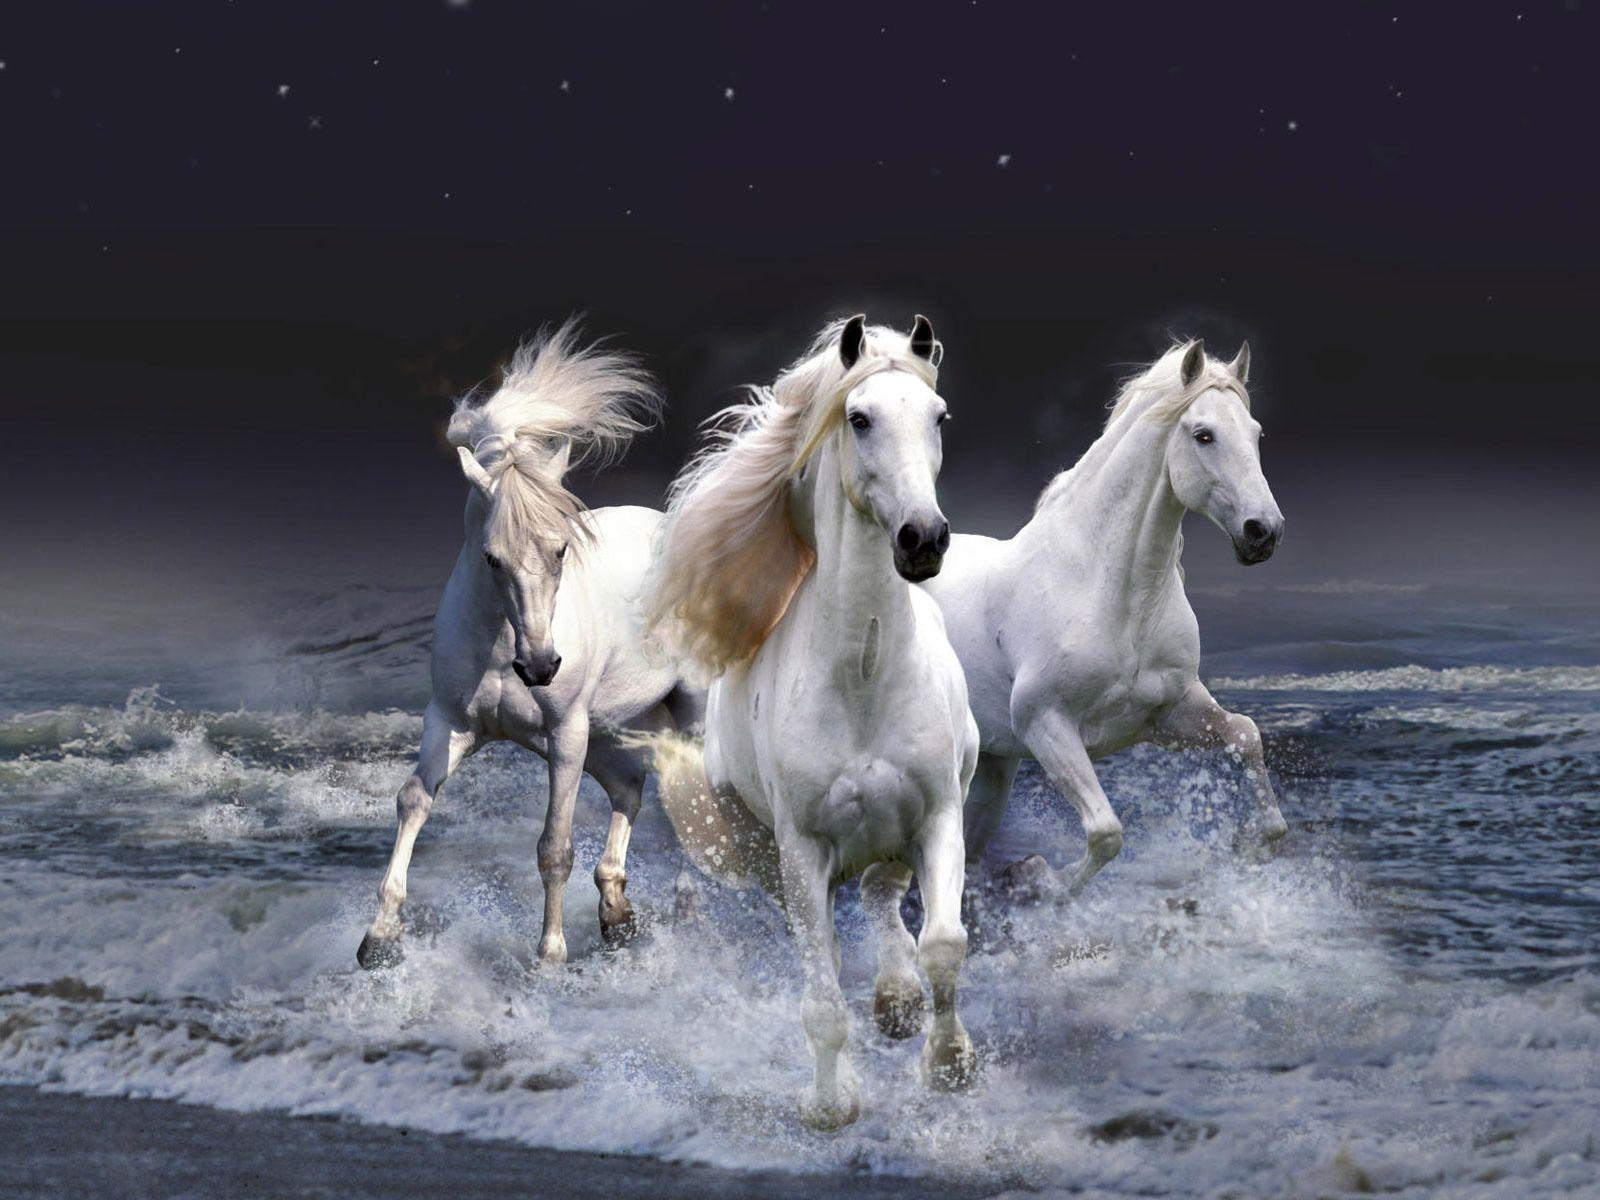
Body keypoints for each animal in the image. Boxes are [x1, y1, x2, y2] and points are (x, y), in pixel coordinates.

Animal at [357, 320, 702, 970]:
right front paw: (379, 939)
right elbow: (413, 800)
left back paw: (684, 908)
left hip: (680, 713)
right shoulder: (452, 722)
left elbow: (554, 846)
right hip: (610, 728)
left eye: (561, 548)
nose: (540, 666)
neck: (499, 648)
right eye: (492, 558)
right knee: (630, 788)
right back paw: (616, 914)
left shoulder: (565, 734)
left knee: (694, 798)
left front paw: (550, 957)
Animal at [638, 315, 979, 1130]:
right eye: (859, 418)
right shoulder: (802, 850)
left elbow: (943, 943)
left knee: (884, 897)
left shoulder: (937, 815)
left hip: (893, 834)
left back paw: (897, 1001)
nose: (924, 539)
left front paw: (950, 1064)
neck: (863, 676)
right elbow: (821, 997)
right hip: (767, 855)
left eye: (939, 417)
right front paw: (831, 1105)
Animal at [918, 339, 1287, 903]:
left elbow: (1246, 737)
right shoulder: (1046, 725)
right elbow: (1106, 832)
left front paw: (1246, 848)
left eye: (1256, 432)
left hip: (993, 769)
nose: (1263, 532)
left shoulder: (1168, 716)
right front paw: (1036, 878)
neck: (1113, 596)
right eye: (1203, 434)